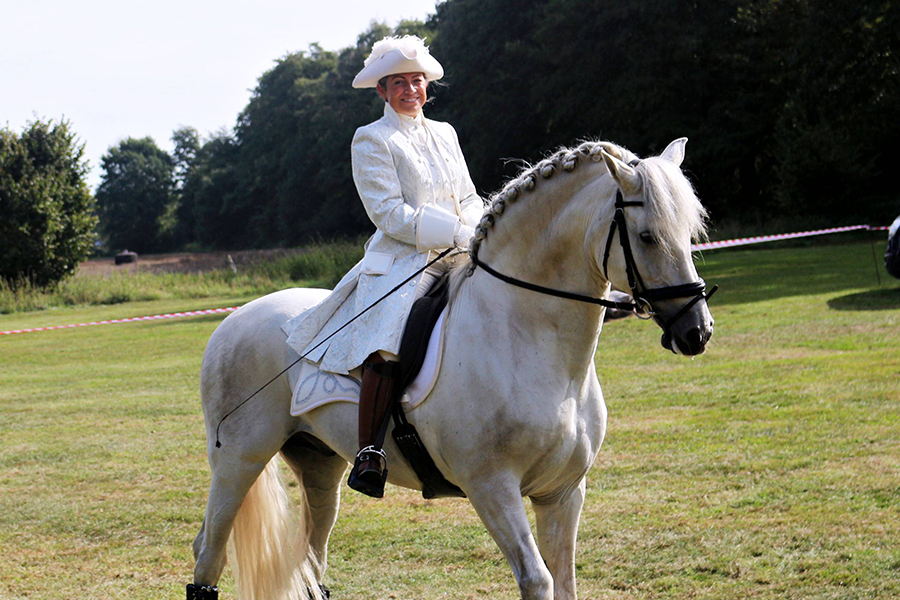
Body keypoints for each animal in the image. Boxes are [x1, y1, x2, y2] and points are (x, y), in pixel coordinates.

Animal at [188, 138, 715, 600]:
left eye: (689, 234)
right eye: (647, 236)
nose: (698, 331)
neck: (529, 338)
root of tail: (232, 321)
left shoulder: (563, 492)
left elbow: (564, 583)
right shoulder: (492, 489)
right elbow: (538, 580)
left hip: (320, 465)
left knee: (310, 559)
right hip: (240, 461)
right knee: (209, 554)